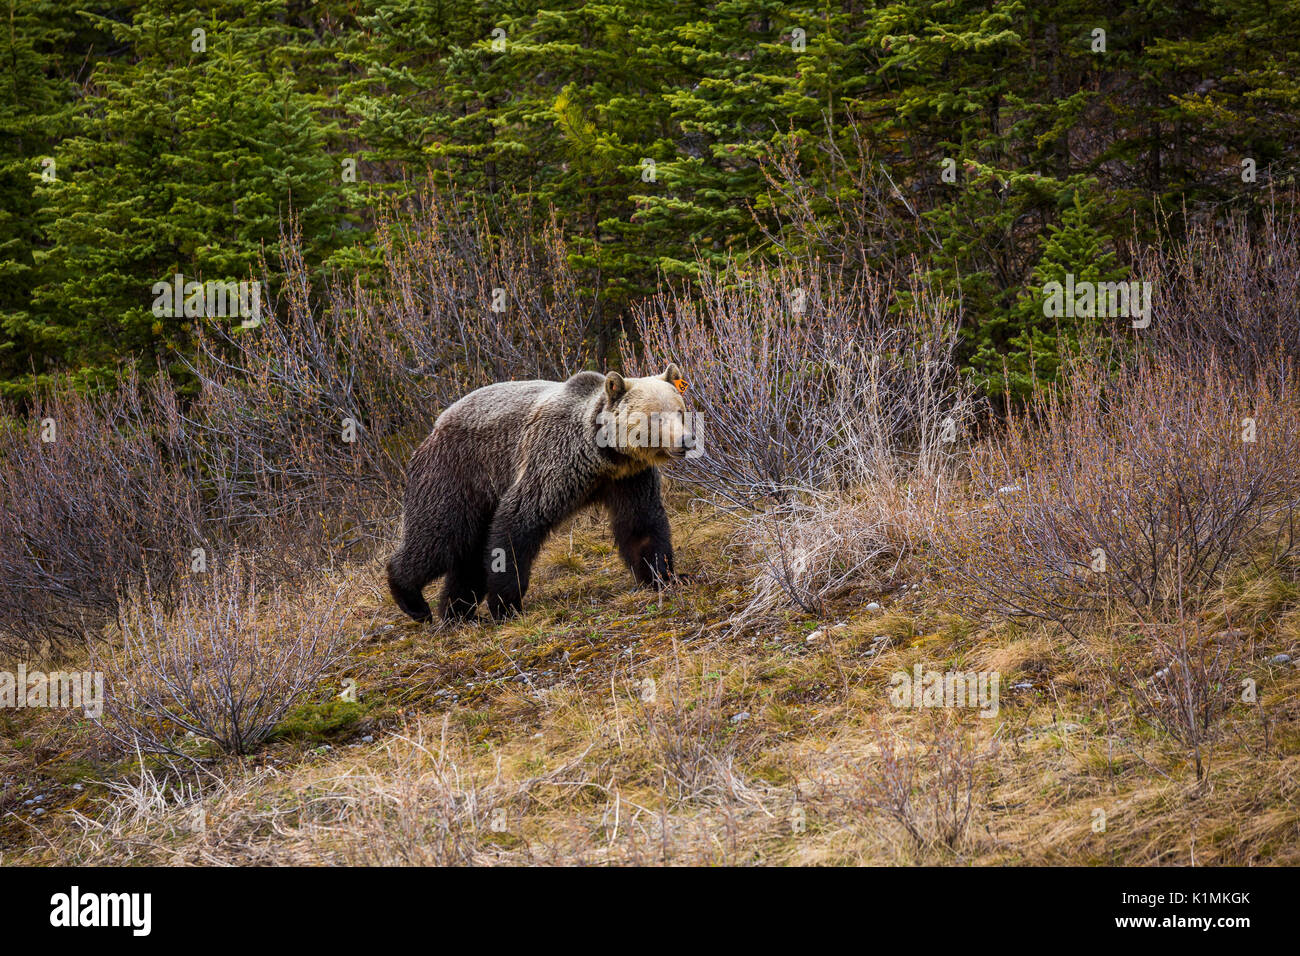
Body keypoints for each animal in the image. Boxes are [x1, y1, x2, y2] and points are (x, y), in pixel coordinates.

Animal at [382, 364, 691, 621]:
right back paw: (413, 601)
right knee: (438, 536)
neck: (603, 455)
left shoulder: (629, 479)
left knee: (468, 556)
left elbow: (642, 525)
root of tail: (432, 430)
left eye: (679, 410)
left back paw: (457, 612)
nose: (685, 440)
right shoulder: (554, 461)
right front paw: (505, 605)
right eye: (655, 417)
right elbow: (518, 522)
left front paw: (667, 577)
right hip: (456, 474)